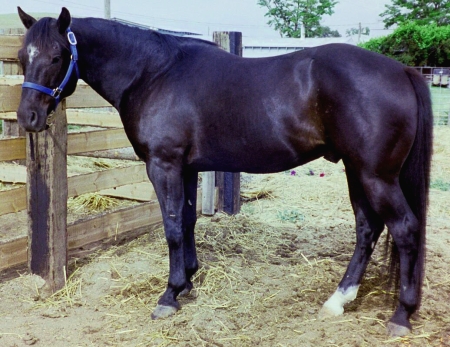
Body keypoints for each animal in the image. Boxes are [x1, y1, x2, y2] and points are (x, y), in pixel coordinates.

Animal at [16, 6, 432, 338]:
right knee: (368, 230)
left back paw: (401, 315)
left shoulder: (163, 164)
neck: (153, 72)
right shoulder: (185, 168)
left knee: (405, 229)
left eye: (57, 55)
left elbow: (171, 227)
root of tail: (402, 70)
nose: (27, 118)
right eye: (22, 56)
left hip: (375, 176)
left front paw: (169, 294)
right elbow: (186, 222)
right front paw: (187, 280)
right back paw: (339, 300)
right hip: (356, 171)